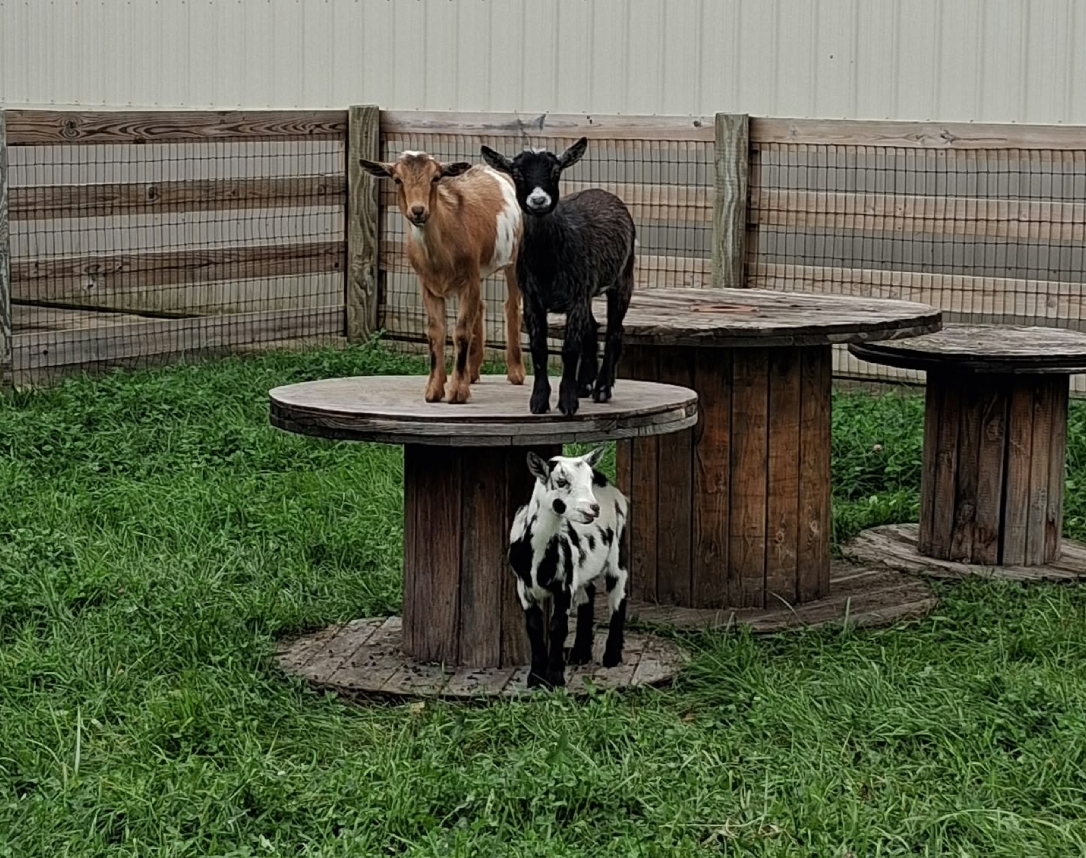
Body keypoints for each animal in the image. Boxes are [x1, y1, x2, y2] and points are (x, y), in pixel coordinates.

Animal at [358, 150, 526, 404]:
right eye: (397, 179)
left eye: (436, 177)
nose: (418, 211)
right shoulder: (428, 285)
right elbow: (436, 332)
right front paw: (434, 389)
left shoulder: (468, 280)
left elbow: (461, 332)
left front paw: (457, 392)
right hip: (479, 271)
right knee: (481, 306)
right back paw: (472, 372)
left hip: (514, 258)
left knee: (512, 305)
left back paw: (516, 372)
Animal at [480, 138, 636, 416]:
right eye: (517, 173)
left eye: (555, 171)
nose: (539, 200)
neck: (547, 263)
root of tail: (603, 192)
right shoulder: (533, 299)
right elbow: (539, 348)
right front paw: (540, 401)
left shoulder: (576, 297)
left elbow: (569, 349)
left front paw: (567, 403)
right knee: (592, 327)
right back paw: (585, 383)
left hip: (623, 278)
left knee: (614, 331)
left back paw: (602, 388)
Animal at [507, 447, 629, 689]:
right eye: (562, 481)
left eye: (588, 480)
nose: (593, 508)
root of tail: (605, 480)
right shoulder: (523, 587)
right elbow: (534, 627)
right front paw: (535, 677)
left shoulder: (563, 585)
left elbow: (557, 627)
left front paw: (554, 677)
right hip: (583, 569)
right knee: (587, 594)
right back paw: (580, 653)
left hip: (617, 554)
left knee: (618, 593)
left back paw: (612, 655)